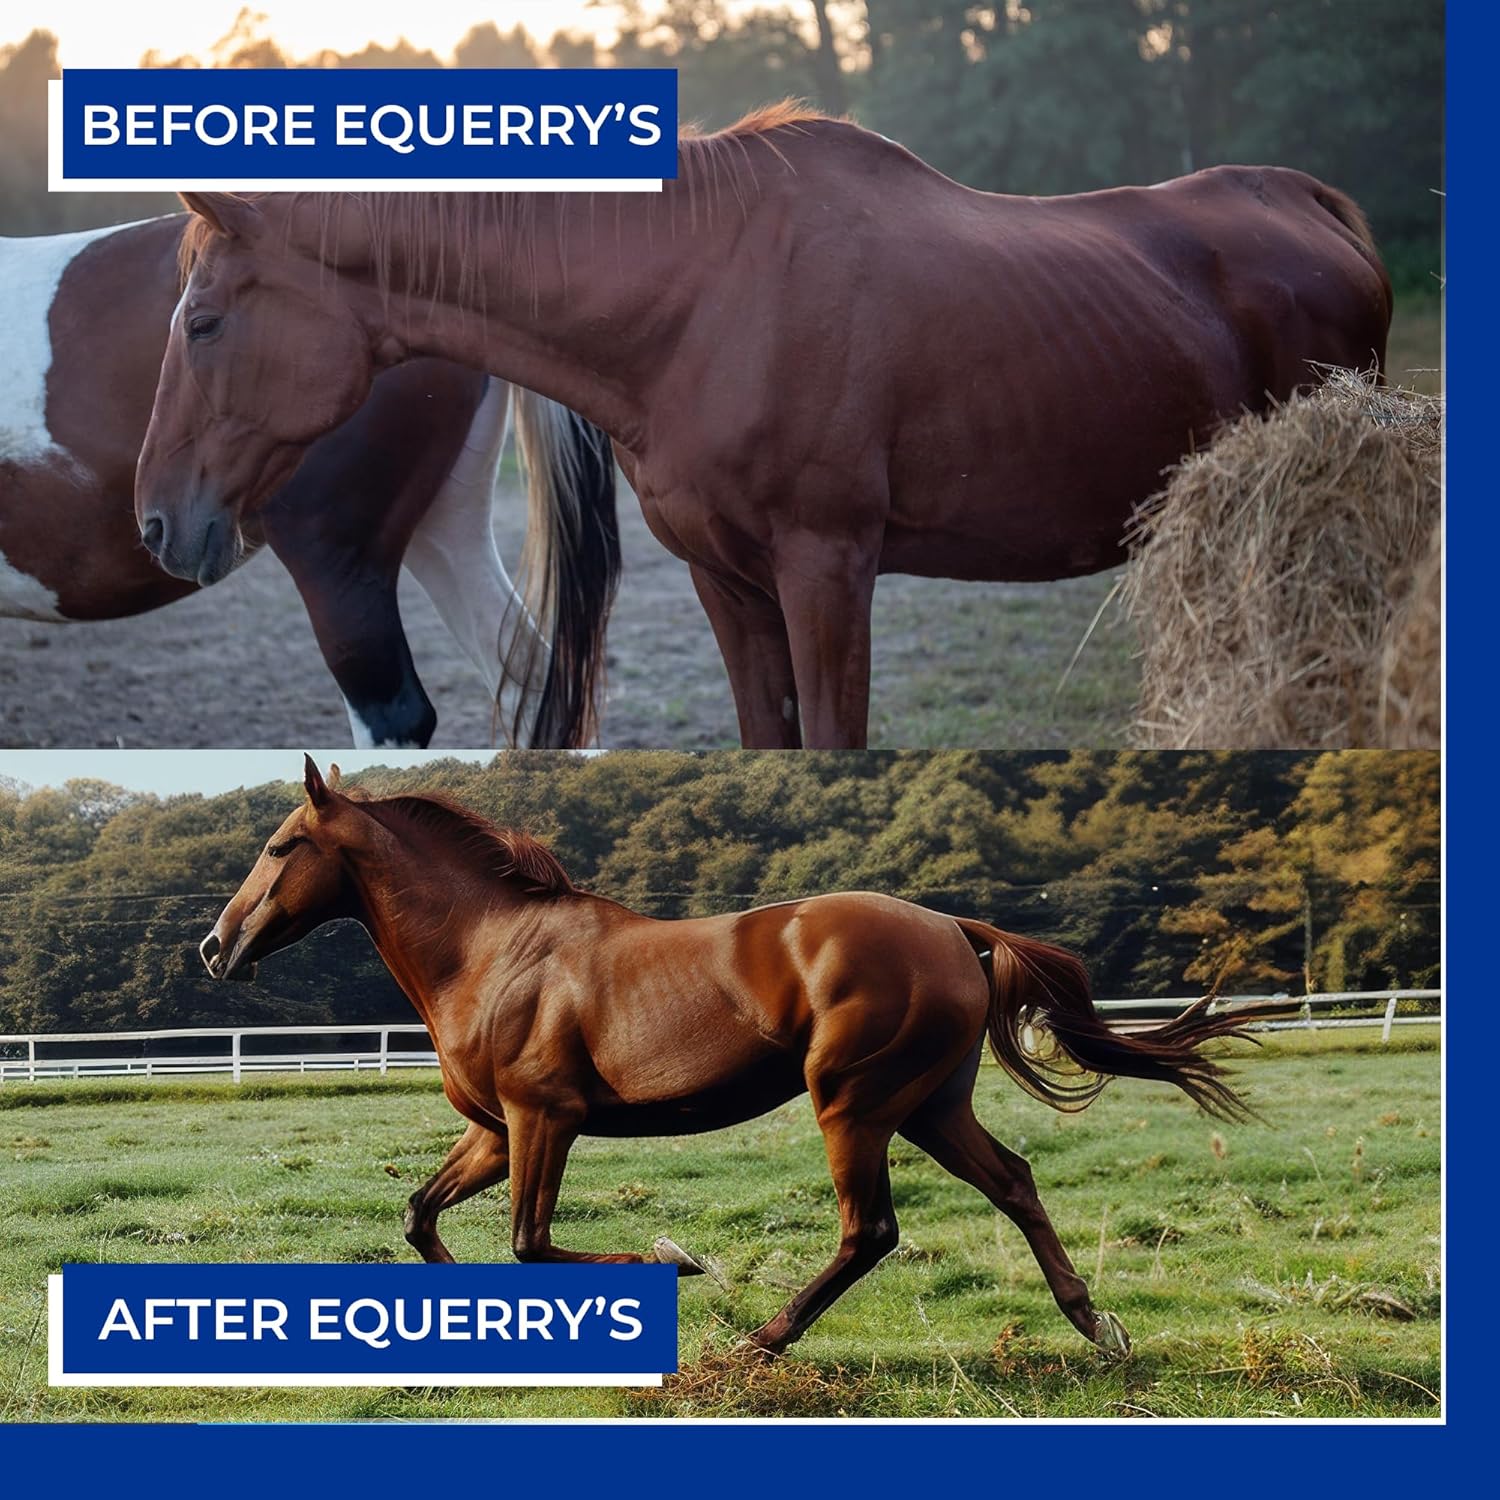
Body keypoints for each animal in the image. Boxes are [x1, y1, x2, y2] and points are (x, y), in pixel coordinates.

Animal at [1, 214, 619, 748]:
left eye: (202, 326)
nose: (154, 523)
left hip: (337, 566)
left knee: (395, 715)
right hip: (445, 530)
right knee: (531, 683)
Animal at [135, 105, 1393, 749]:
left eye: (202, 321)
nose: (155, 522)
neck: (703, 297)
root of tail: (1312, 205)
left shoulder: (827, 569)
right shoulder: (727, 581)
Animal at [199, 755, 1255, 1355]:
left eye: (280, 845)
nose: (215, 947)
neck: (493, 951)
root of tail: (955, 928)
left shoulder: (545, 1120)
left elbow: (530, 1243)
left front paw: (676, 1260)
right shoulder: (497, 1132)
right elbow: (422, 1218)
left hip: (853, 1103)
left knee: (871, 1231)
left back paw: (762, 1343)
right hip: (930, 1105)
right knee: (1015, 1182)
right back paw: (1094, 1324)